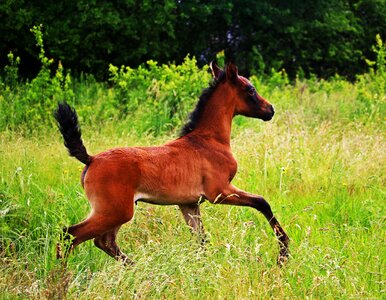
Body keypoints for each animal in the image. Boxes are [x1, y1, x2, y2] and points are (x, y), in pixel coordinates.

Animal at [54, 61, 290, 264]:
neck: (208, 140)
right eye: (250, 89)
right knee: (70, 236)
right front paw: (284, 251)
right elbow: (262, 202)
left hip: (115, 212)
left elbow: (201, 239)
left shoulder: (189, 204)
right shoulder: (219, 192)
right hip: (114, 212)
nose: (270, 110)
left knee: (104, 242)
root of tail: (91, 159)